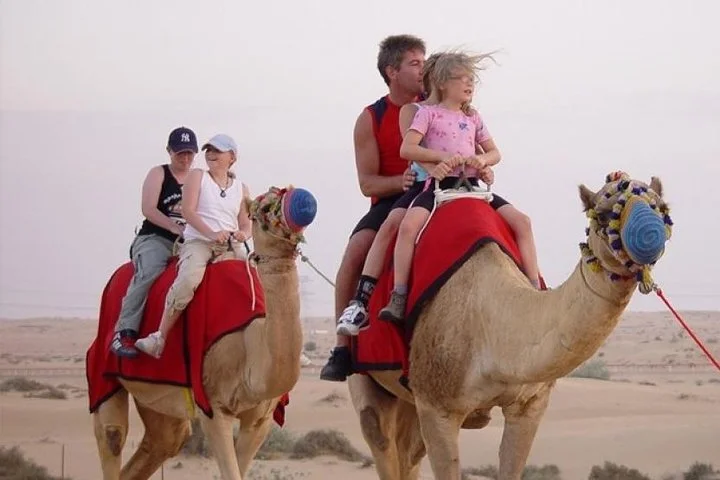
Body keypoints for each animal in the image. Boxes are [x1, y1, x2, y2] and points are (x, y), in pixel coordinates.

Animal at [91, 185, 317, 480]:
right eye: (262, 208)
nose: (303, 203)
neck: (251, 344)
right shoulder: (213, 406)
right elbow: (230, 472)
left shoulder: (261, 418)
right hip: (103, 372)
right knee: (113, 435)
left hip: (159, 401)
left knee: (166, 440)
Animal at [347, 172, 673, 480]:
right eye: (603, 214)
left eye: (660, 207)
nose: (650, 236)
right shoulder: (436, 407)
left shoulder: (529, 404)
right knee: (378, 432)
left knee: (409, 453)